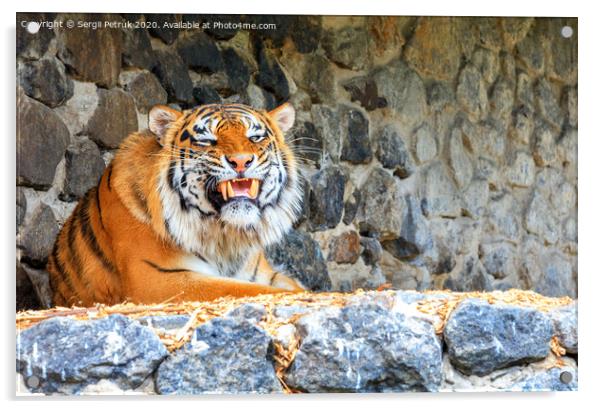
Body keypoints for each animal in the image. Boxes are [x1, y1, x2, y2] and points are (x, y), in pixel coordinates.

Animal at [48, 102, 304, 306]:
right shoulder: (160, 279)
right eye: (207, 141)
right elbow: (249, 290)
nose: (241, 161)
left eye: (255, 138)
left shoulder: (262, 272)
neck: (225, 235)